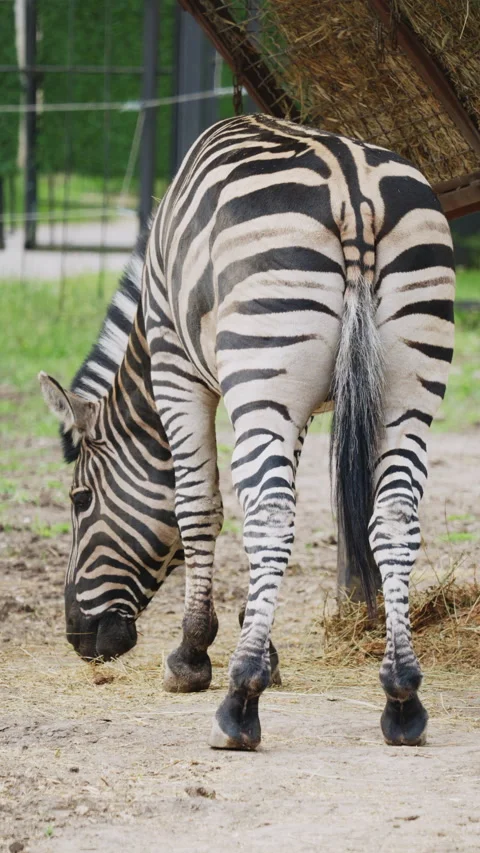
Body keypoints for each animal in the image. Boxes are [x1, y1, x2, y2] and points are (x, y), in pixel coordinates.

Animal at [40, 114, 455, 750]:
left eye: (80, 499)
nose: (78, 638)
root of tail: (354, 192)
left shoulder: (176, 365)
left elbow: (197, 507)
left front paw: (193, 654)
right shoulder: (295, 408)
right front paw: (263, 641)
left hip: (265, 363)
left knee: (270, 518)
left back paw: (240, 700)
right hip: (406, 382)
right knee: (392, 517)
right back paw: (402, 697)